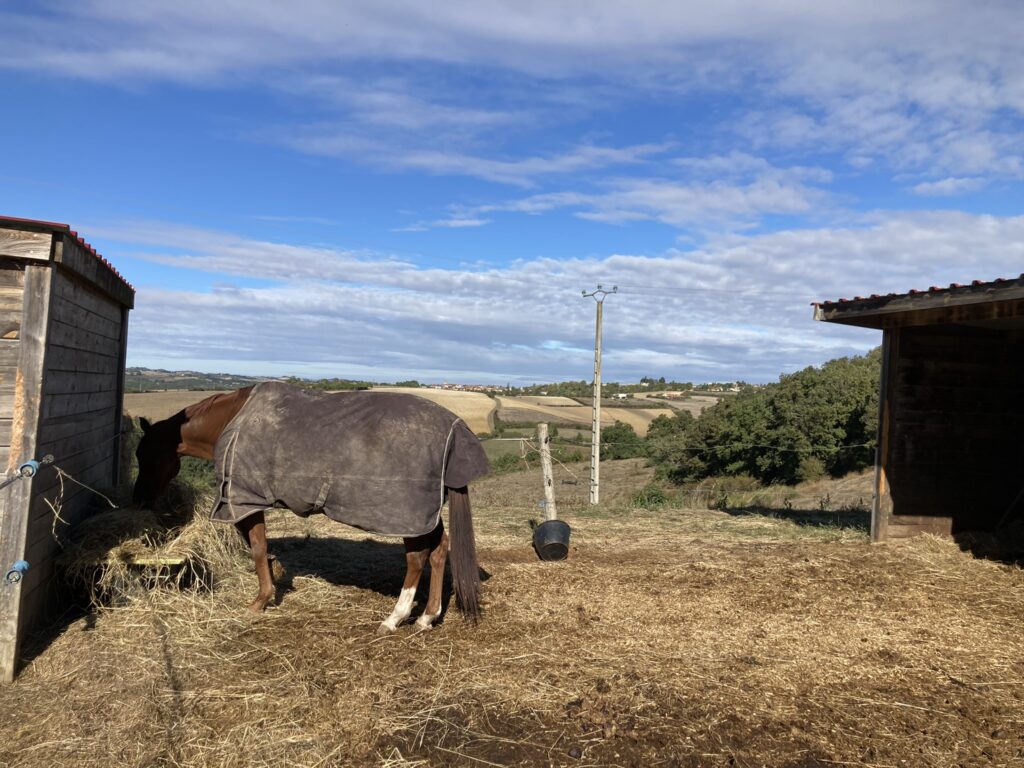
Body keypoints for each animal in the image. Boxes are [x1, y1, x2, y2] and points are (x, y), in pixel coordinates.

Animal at [132, 382, 491, 634]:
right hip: (425, 516)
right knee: (439, 551)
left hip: (408, 516)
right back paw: (427, 617)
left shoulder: (244, 500)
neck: (232, 419)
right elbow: (261, 548)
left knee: (417, 558)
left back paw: (395, 618)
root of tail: (455, 431)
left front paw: (261, 599)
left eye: (145, 453)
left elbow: (257, 547)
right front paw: (274, 577)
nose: (139, 499)